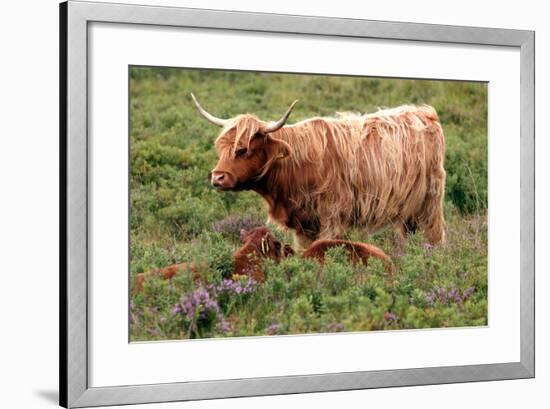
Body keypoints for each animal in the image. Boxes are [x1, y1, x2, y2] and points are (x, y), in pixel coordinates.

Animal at [192, 94, 446, 247]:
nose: (217, 177)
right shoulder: (304, 226)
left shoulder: (332, 219)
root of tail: (424, 113)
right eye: (221, 148)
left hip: (430, 202)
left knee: (434, 235)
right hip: (409, 210)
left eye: (243, 149)